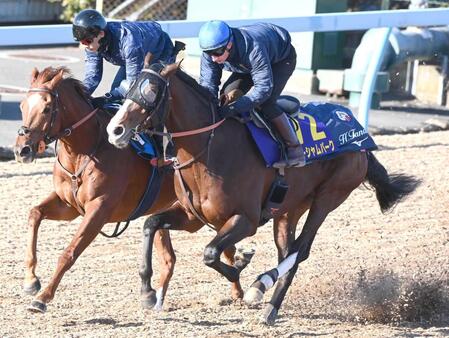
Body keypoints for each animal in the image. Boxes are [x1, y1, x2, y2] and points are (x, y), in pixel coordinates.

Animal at [14, 66, 179, 314]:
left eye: (47, 108)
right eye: (22, 106)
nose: (21, 150)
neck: (82, 152)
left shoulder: (99, 209)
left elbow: (69, 252)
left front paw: (42, 298)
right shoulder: (69, 205)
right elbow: (35, 213)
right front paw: (31, 280)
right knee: (169, 258)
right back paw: (152, 296)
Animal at [106, 62, 420, 326]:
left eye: (151, 90)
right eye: (129, 86)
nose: (115, 129)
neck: (209, 149)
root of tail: (359, 134)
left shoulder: (246, 220)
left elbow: (210, 253)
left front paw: (240, 267)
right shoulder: (192, 216)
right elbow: (151, 224)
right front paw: (148, 292)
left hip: (329, 195)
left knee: (301, 249)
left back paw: (261, 287)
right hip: (289, 209)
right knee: (289, 250)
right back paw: (271, 305)